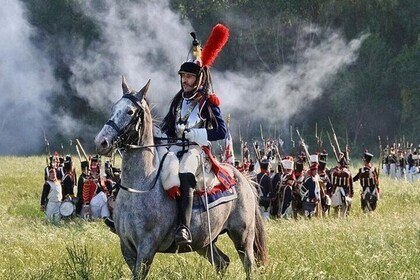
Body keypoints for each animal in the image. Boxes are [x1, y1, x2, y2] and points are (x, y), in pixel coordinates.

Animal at [94, 77, 268, 280]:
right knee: (222, 263)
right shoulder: (127, 248)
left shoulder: (146, 248)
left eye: (130, 111)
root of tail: (240, 176)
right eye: (114, 108)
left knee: (249, 265)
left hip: (242, 237)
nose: (101, 142)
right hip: (205, 242)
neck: (140, 186)